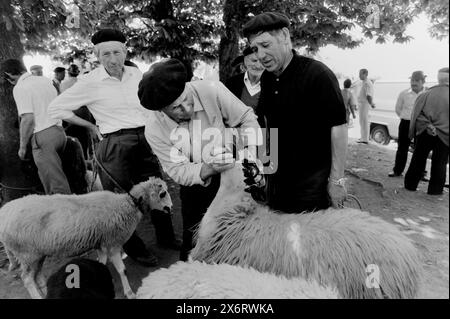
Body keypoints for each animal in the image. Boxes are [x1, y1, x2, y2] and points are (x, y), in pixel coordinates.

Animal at [0, 178, 172, 300]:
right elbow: (122, 270)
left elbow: (101, 262)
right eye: (162, 193)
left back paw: (43, 292)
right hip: (26, 253)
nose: (170, 208)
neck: (128, 204)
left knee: (37, 277)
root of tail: (4, 212)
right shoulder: (112, 243)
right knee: (27, 279)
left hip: (37, 254)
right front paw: (130, 293)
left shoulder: (101, 243)